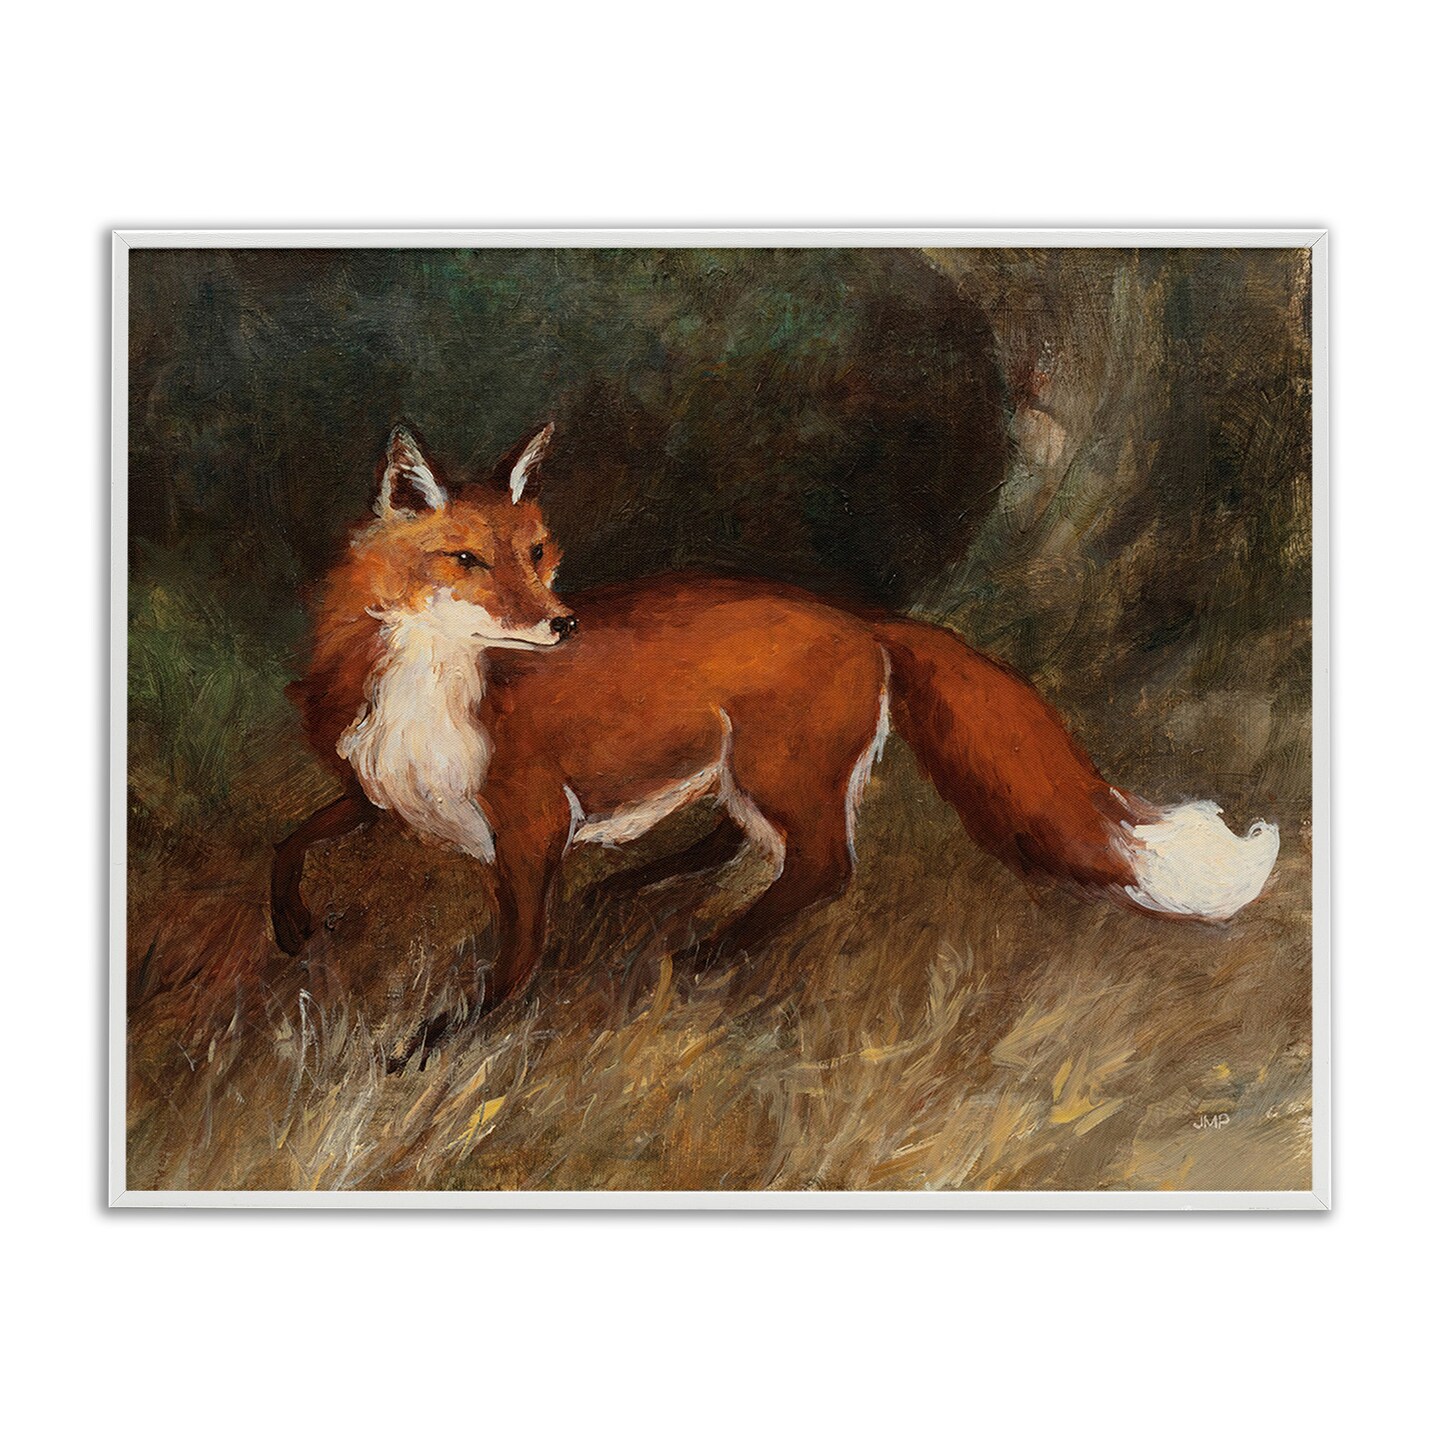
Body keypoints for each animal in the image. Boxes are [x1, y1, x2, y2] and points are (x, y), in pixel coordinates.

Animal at [272, 420, 1281, 1030]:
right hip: (746, 768)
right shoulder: (377, 793)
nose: (561, 624)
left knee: (822, 867)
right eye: (467, 561)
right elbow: (289, 840)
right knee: (742, 844)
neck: (432, 693)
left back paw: (709, 951)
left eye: (537, 553)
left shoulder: (530, 822)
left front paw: (448, 1038)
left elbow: (516, 955)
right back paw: (638, 890)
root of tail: (862, 618)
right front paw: (291, 931)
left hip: (776, 768)